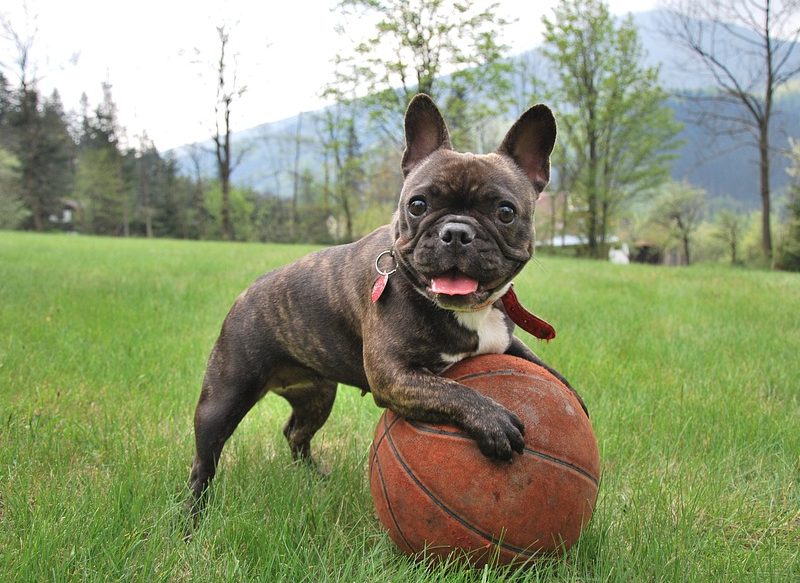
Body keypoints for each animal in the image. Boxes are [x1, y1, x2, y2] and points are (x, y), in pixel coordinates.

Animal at [188, 93, 588, 508]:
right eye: (417, 205)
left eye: (505, 212)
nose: (456, 232)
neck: (466, 311)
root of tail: (246, 294)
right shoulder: (394, 376)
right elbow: (452, 390)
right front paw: (493, 420)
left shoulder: (504, 340)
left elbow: (541, 365)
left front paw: (572, 396)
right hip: (223, 398)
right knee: (204, 461)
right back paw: (194, 513)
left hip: (317, 395)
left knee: (296, 433)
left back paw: (314, 478)